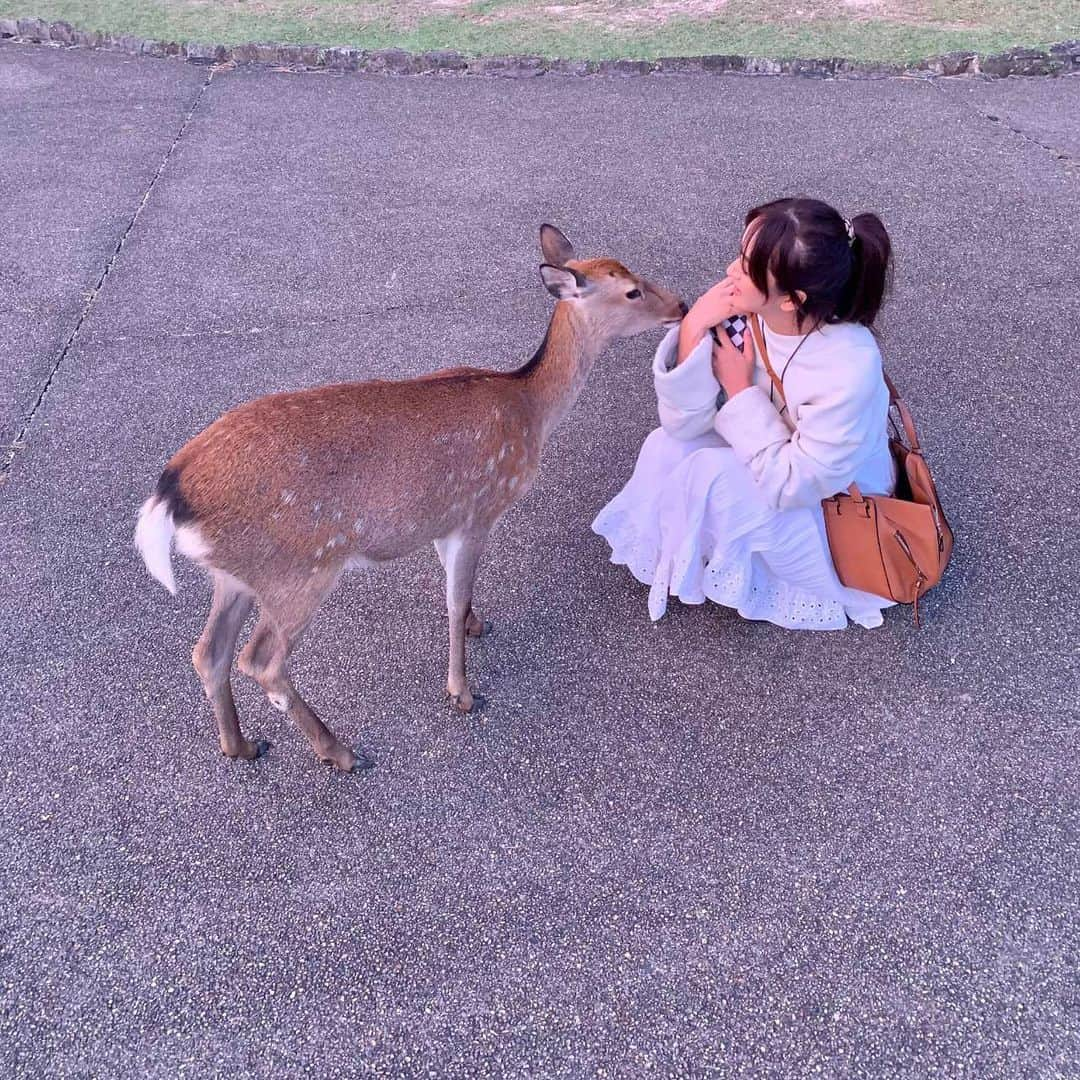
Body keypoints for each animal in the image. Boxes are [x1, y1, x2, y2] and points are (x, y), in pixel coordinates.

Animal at [132, 223, 682, 773]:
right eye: (630, 291)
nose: (680, 303)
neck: (530, 408)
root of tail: (171, 491)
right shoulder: (479, 508)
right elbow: (454, 598)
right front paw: (461, 692)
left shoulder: (441, 517)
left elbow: (454, 592)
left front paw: (476, 625)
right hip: (300, 570)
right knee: (261, 661)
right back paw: (339, 750)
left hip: (237, 574)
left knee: (209, 652)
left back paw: (242, 745)